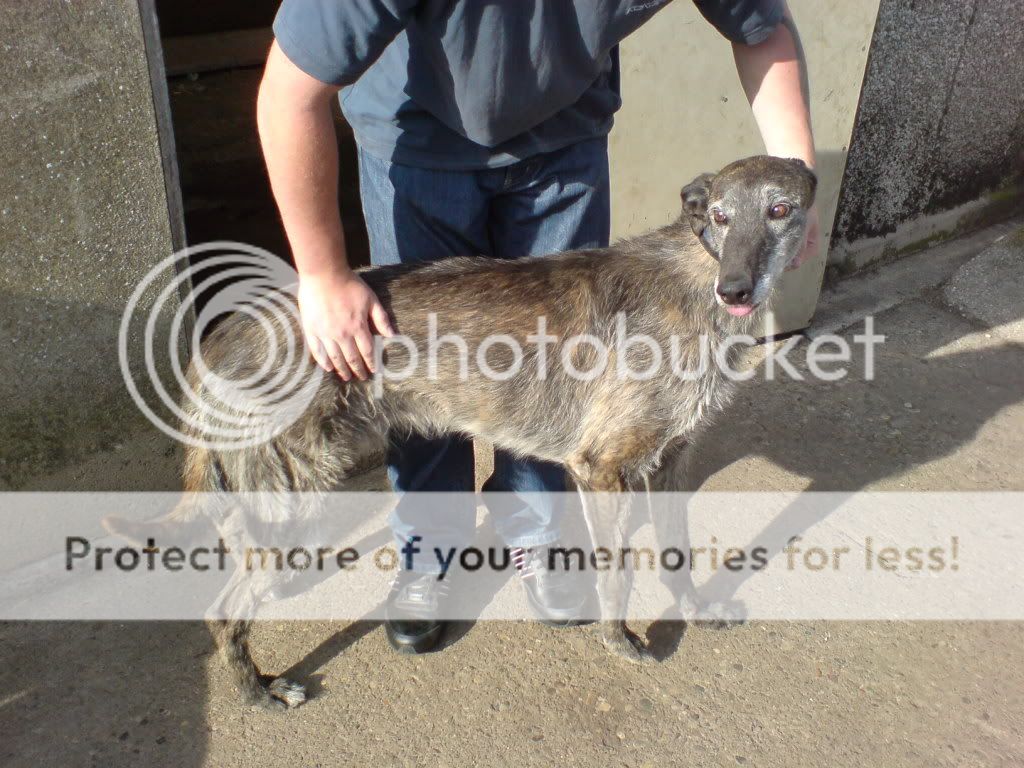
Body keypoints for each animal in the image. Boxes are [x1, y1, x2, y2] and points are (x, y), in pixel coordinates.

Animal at [108, 154, 819, 708]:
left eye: (780, 210)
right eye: (720, 216)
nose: (736, 290)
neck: (695, 274)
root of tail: (219, 338)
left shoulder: (670, 461)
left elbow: (677, 554)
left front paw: (695, 611)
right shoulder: (602, 469)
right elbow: (617, 574)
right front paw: (620, 642)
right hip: (291, 494)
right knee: (223, 610)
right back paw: (258, 691)